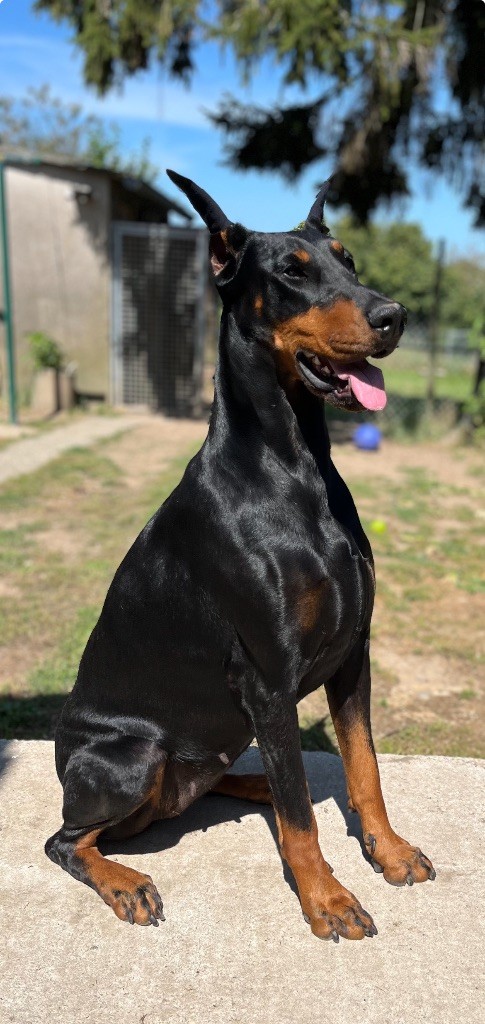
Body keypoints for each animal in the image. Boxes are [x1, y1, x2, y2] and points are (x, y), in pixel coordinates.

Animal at [45, 171, 435, 941]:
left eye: (350, 263)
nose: (394, 316)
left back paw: (255, 784)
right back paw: (126, 881)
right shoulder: (266, 677)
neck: (296, 469)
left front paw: (389, 851)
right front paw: (327, 899)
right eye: (292, 273)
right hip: (131, 756)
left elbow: (365, 770)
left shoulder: (354, 653)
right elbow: (304, 824)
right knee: (67, 839)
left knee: (246, 782)